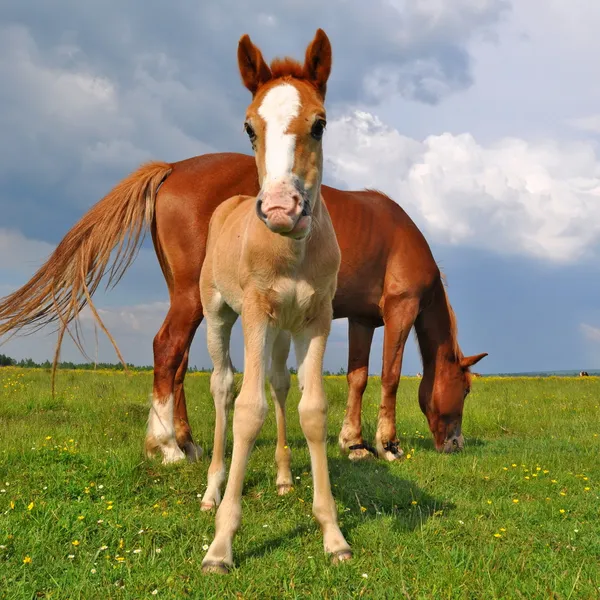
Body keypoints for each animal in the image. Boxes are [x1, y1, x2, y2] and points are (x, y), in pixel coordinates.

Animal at [0, 61, 486, 464]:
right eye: (464, 389)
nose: (456, 444)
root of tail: (172, 168)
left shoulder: (363, 318)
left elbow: (359, 377)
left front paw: (355, 443)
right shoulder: (401, 309)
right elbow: (390, 376)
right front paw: (388, 444)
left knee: (178, 362)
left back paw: (189, 443)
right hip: (192, 299)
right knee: (166, 348)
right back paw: (168, 448)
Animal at [199, 31, 354, 572]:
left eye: (320, 124)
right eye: (249, 127)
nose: (282, 208)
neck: (291, 253)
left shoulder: (317, 318)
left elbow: (313, 410)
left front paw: (333, 534)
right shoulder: (254, 313)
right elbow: (248, 411)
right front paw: (221, 545)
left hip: (282, 332)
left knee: (280, 385)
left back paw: (285, 477)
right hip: (219, 316)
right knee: (224, 387)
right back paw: (211, 489)